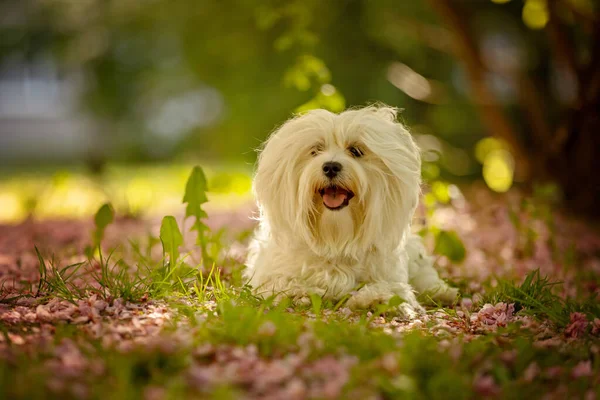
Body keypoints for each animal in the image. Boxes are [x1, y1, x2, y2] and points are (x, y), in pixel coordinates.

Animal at [241, 104, 458, 318]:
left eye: (355, 150)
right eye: (315, 150)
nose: (330, 167)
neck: (335, 238)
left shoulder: (390, 273)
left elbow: (392, 288)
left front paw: (378, 298)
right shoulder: (271, 273)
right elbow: (283, 283)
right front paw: (299, 293)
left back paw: (442, 292)